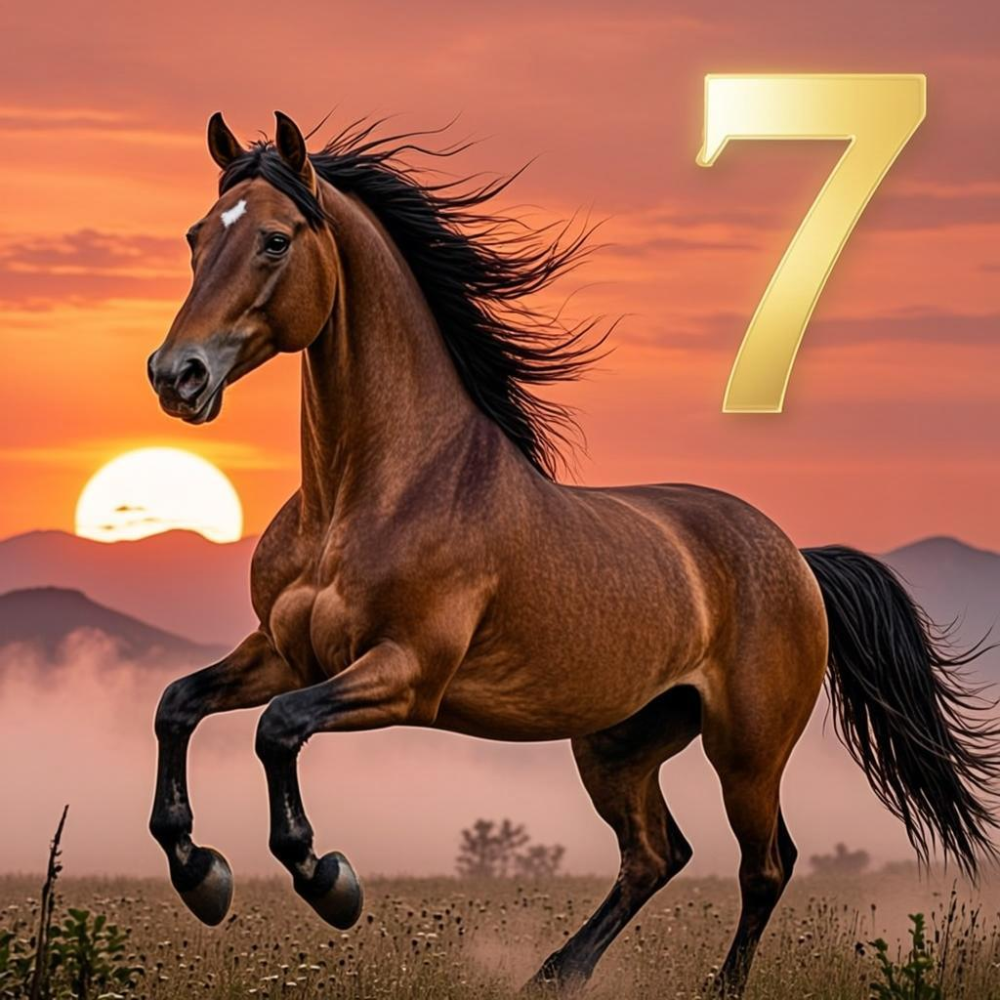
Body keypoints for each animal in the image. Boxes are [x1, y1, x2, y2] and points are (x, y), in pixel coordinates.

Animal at [146, 111, 999, 996]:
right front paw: (199, 873)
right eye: (197, 235)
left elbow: (277, 730)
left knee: (764, 864)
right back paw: (553, 973)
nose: (177, 375)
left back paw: (712, 986)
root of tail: (798, 557)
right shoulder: (285, 654)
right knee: (656, 854)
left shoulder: (406, 674)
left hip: (747, 750)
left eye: (275, 241)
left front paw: (328, 881)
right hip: (617, 743)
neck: (364, 498)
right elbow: (177, 704)